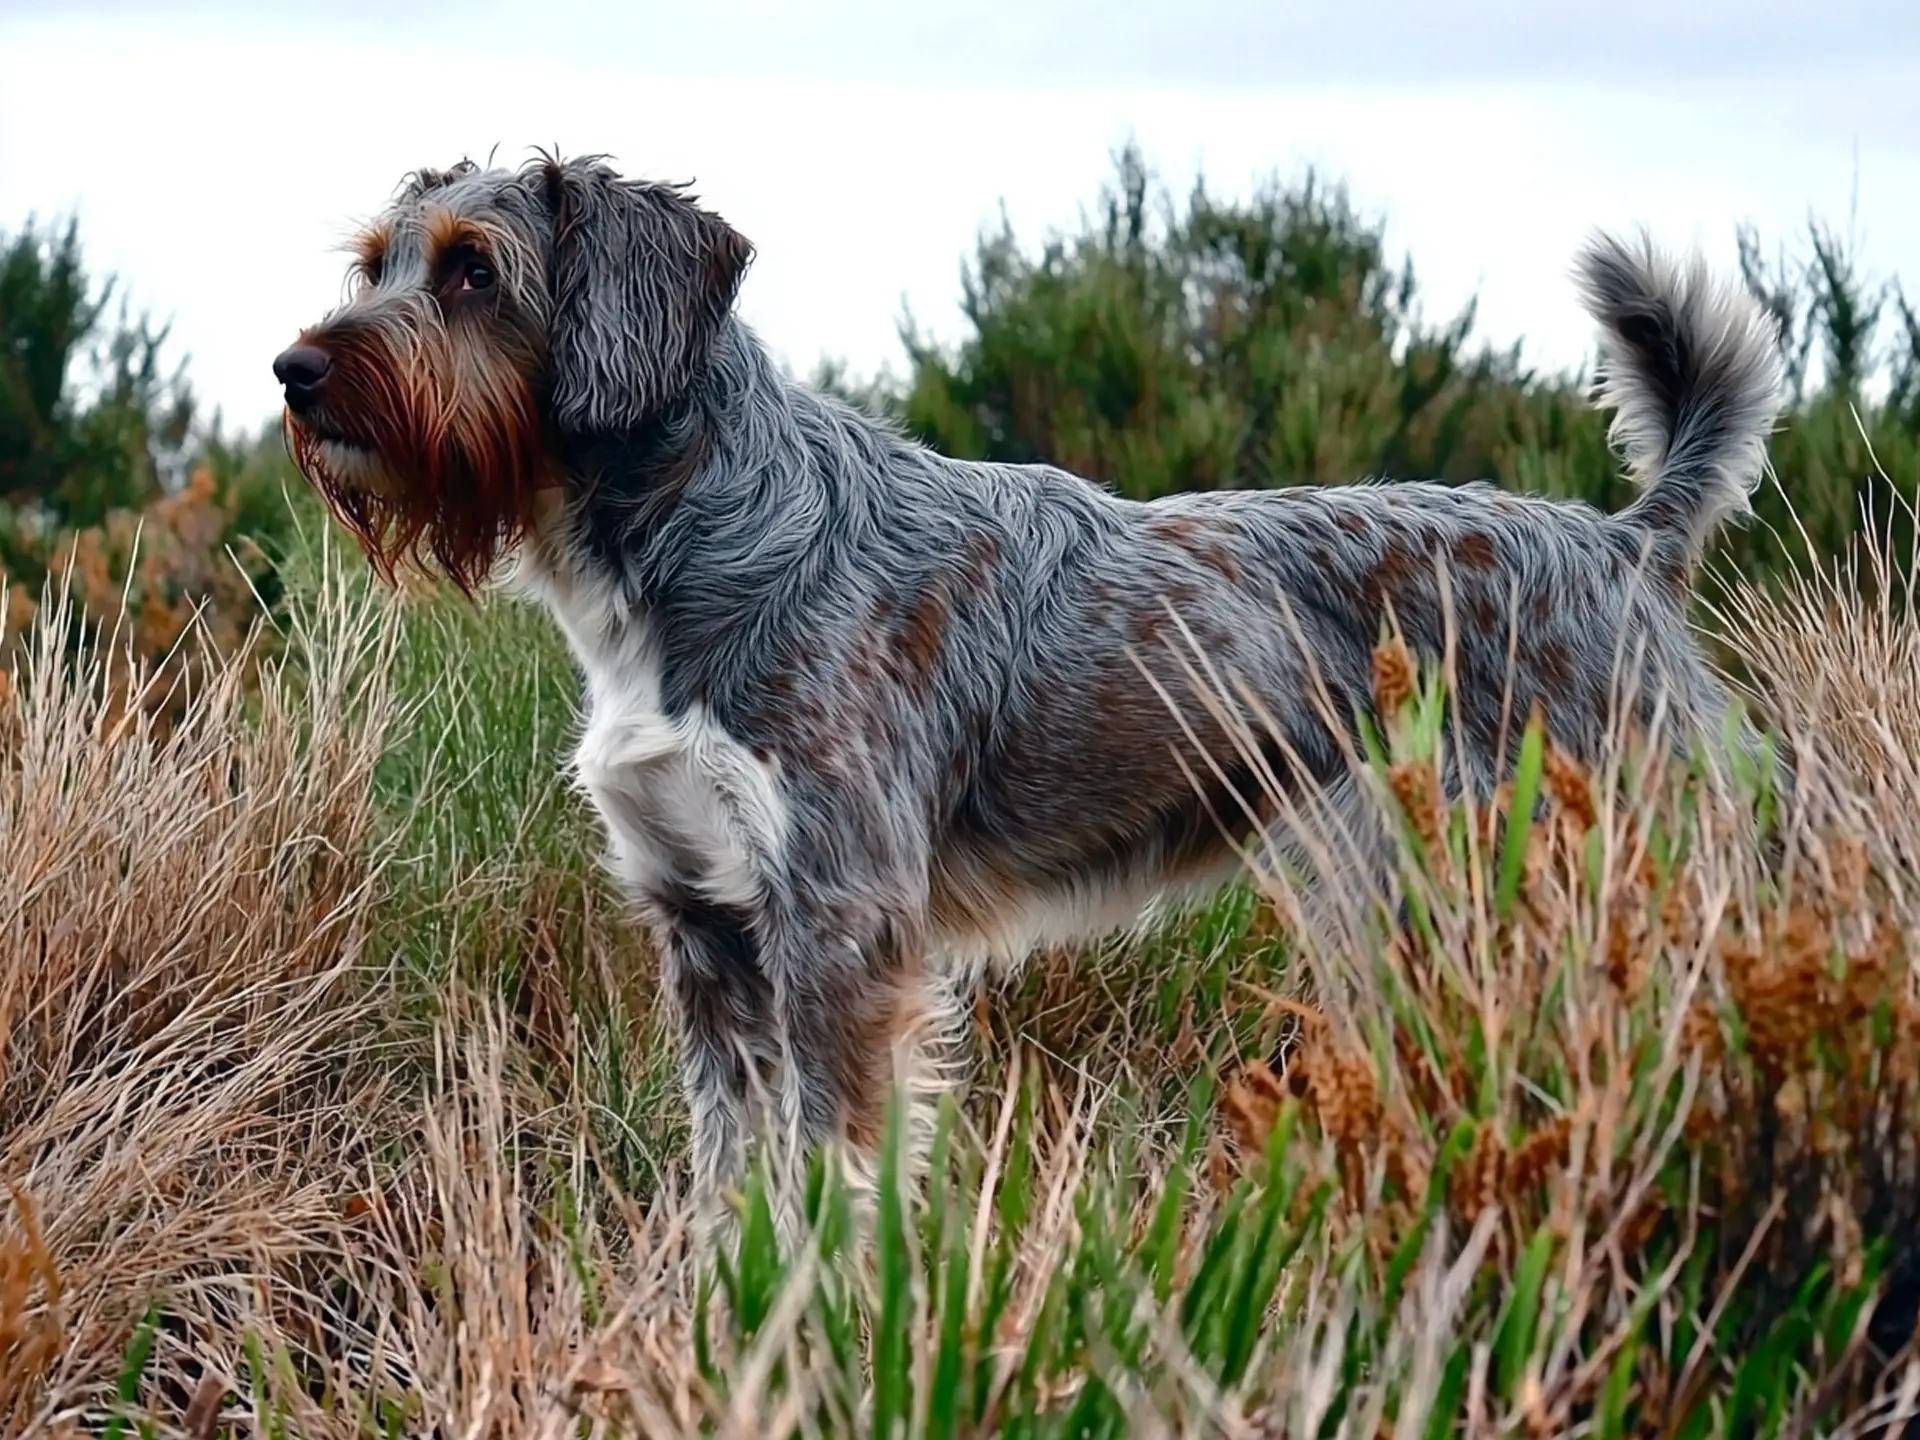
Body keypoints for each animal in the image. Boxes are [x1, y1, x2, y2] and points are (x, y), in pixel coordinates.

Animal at [278, 149, 1789, 1228]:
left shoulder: (840, 930)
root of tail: (1617, 541)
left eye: (475, 273)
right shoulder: (705, 930)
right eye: (378, 262)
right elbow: (726, 1178)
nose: (295, 369)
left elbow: (831, 1175)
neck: (688, 537)